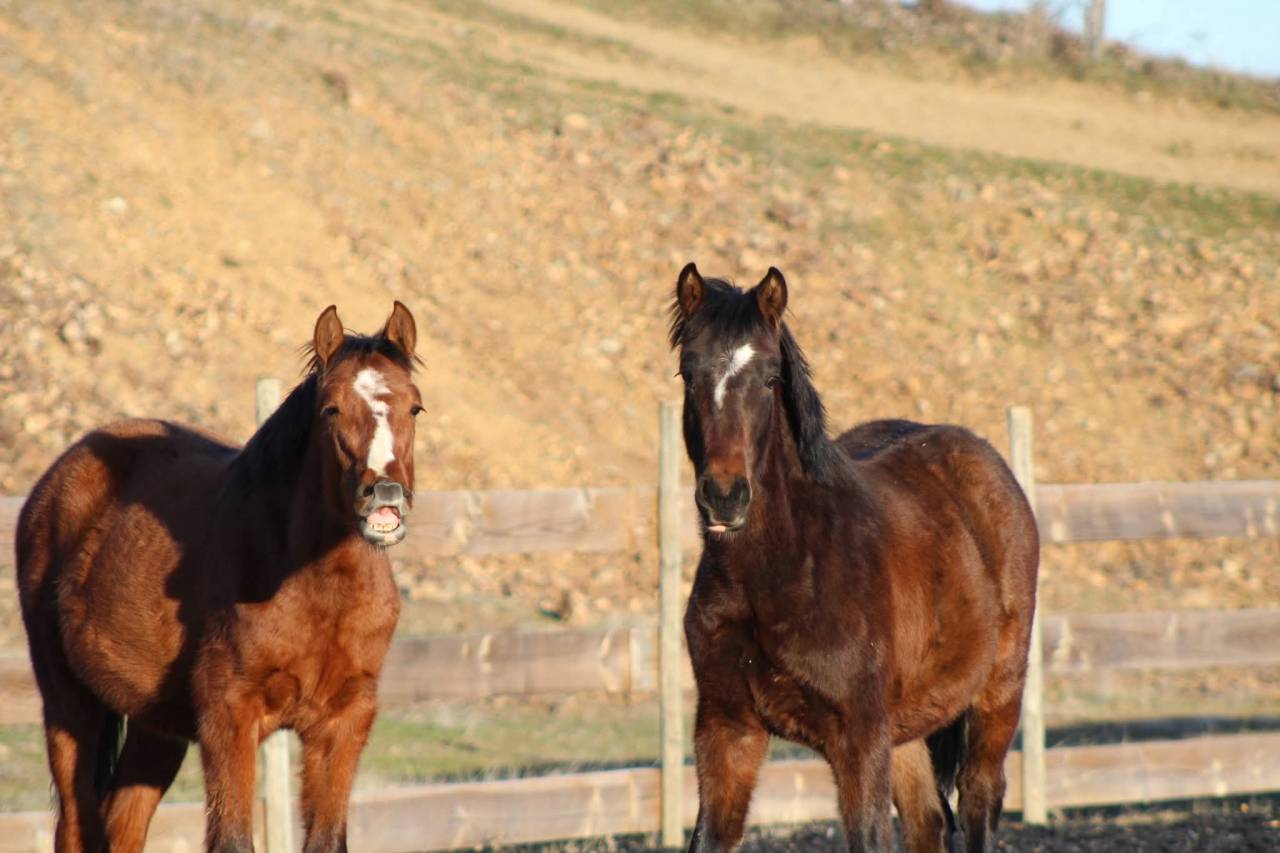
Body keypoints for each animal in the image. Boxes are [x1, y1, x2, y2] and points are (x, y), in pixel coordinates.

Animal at [16, 302, 423, 852]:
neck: (314, 589)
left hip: (156, 725)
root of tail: (58, 477)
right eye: (331, 410)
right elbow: (231, 838)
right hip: (68, 702)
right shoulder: (230, 717)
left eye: (415, 408)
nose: (384, 495)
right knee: (77, 823)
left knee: (123, 824)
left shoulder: (344, 722)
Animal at [669, 264, 1038, 853]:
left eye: (770, 378)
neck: (788, 570)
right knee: (928, 821)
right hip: (906, 729)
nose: (725, 497)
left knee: (980, 800)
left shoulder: (859, 740)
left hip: (996, 695)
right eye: (688, 373)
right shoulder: (727, 730)